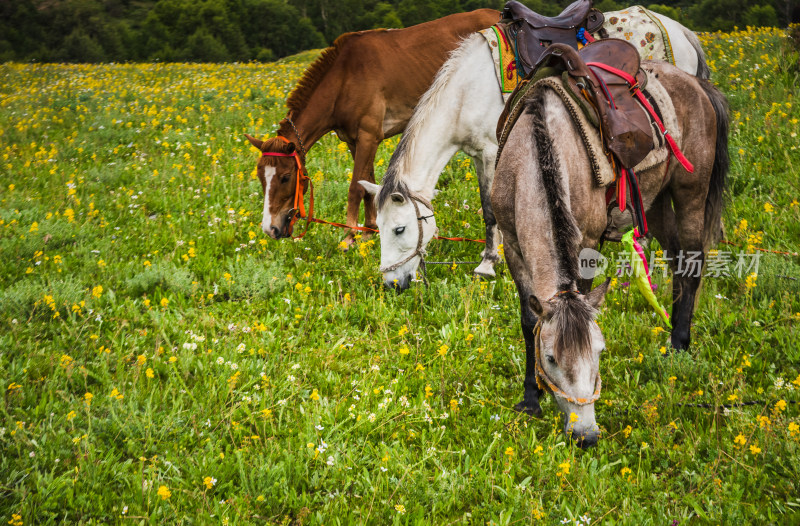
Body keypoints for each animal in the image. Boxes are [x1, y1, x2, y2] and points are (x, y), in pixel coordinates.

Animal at [242, 9, 500, 243]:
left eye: (285, 177)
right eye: (261, 177)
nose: (271, 229)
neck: (343, 79)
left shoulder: (368, 136)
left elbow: (355, 188)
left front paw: (349, 236)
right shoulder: (354, 141)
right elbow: (367, 185)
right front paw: (369, 229)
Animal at [360, 10, 708, 290]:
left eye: (399, 229)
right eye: (378, 228)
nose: (392, 284)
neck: (466, 93)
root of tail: (680, 29)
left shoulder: (491, 152)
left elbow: (490, 211)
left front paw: (488, 265)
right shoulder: (477, 154)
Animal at [490, 62, 728, 450]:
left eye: (599, 353)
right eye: (551, 358)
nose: (585, 435)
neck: (533, 151)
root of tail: (696, 83)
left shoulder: (586, 244)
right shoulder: (512, 247)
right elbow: (528, 321)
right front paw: (530, 398)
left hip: (690, 194)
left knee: (692, 266)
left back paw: (679, 345)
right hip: (656, 203)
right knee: (678, 262)